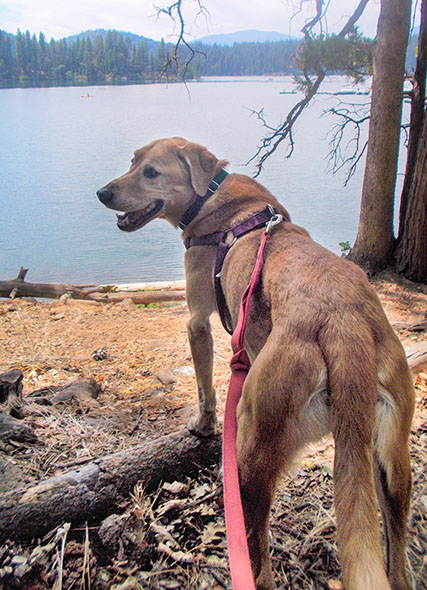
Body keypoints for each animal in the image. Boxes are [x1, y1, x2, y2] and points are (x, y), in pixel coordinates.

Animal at [98, 138, 414, 590]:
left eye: (152, 173)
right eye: (132, 162)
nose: (102, 193)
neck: (214, 198)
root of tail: (344, 321)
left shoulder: (197, 320)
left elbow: (205, 387)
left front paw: (203, 425)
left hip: (253, 447)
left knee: (260, 563)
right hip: (391, 460)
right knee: (398, 560)